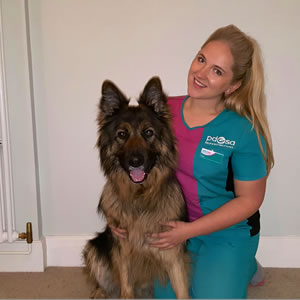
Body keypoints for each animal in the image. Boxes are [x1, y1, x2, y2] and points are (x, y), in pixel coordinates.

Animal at [82, 77, 190, 298]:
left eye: (148, 132)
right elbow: (125, 288)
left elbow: (182, 291)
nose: (135, 161)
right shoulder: (122, 251)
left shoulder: (173, 255)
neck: (140, 196)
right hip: (94, 247)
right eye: (122, 134)